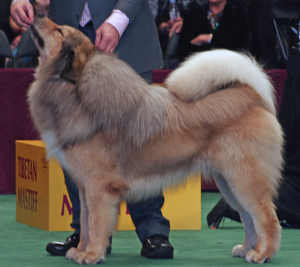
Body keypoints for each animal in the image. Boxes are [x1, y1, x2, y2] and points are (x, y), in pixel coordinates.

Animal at [28, 14, 284, 266]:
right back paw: (247, 249)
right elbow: (84, 220)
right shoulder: (83, 187)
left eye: (59, 30)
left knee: (267, 217)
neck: (76, 92)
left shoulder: (99, 188)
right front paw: (79, 249)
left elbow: (96, 224)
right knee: (248, 217)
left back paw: (262, 254)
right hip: (229, 182)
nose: (37, 13)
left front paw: (91, 255)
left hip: (245, 178)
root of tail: (248, 94)